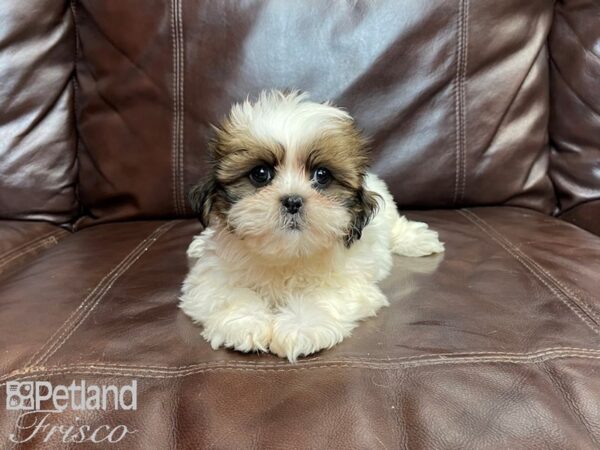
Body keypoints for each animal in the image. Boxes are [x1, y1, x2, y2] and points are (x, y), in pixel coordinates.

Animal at [180, 89, 442, 360]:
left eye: (322, 175)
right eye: (260, 174)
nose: (293, 201)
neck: (287, 255)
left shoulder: (348, 280)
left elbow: (323, 296)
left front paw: (300, 327)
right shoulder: (210, 277)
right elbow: (228, 293)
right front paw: (244, 323)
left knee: (395, 225)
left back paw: (417, 240)